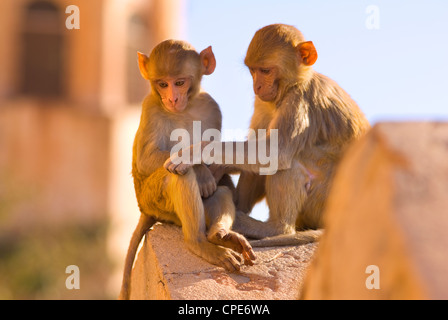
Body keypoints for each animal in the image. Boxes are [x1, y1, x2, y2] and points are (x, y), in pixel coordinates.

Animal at [119, 40, 256, 300]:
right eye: (162, 84)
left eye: (180, 82)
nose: (172, 98)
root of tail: (144, 209)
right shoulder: (151, 106)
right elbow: (145, 160)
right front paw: (200, 169)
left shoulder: (212, 107)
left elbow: (216, 157)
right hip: (156, 202)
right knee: (179, 176)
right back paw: (198, 242)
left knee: (221, 189)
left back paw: (220, 235)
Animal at [163, 24, 370, 248]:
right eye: (252, 70)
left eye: (265, 71)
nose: (257, 87)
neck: (292, 86)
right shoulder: (262, 101)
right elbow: (256, 147)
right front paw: (218, 166)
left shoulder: (300, 101)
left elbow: (275, 152)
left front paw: (193, 153)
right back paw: (234, 208)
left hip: (323, 202)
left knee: (289, 161)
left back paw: (272, 228)